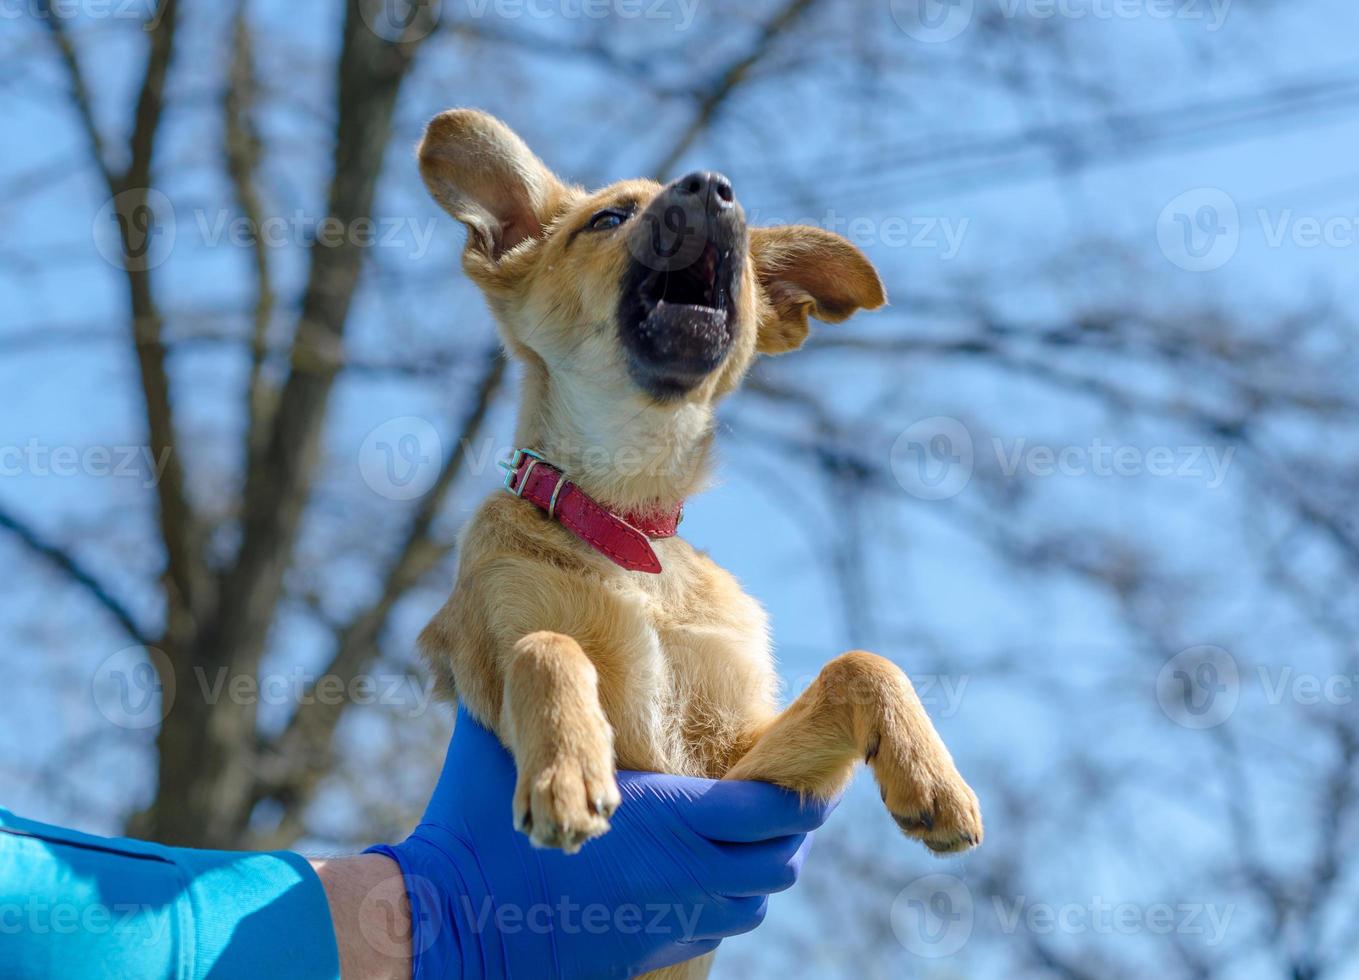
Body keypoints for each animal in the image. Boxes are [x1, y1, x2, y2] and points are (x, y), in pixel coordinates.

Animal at [413, 108, 978, 978]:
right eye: (606, 218)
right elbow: (547, 644)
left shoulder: (735, 771)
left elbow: (860, 664)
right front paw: (566, 767)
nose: (711, 186)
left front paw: (931, 778)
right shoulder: (498, 661)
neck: (627, 526)